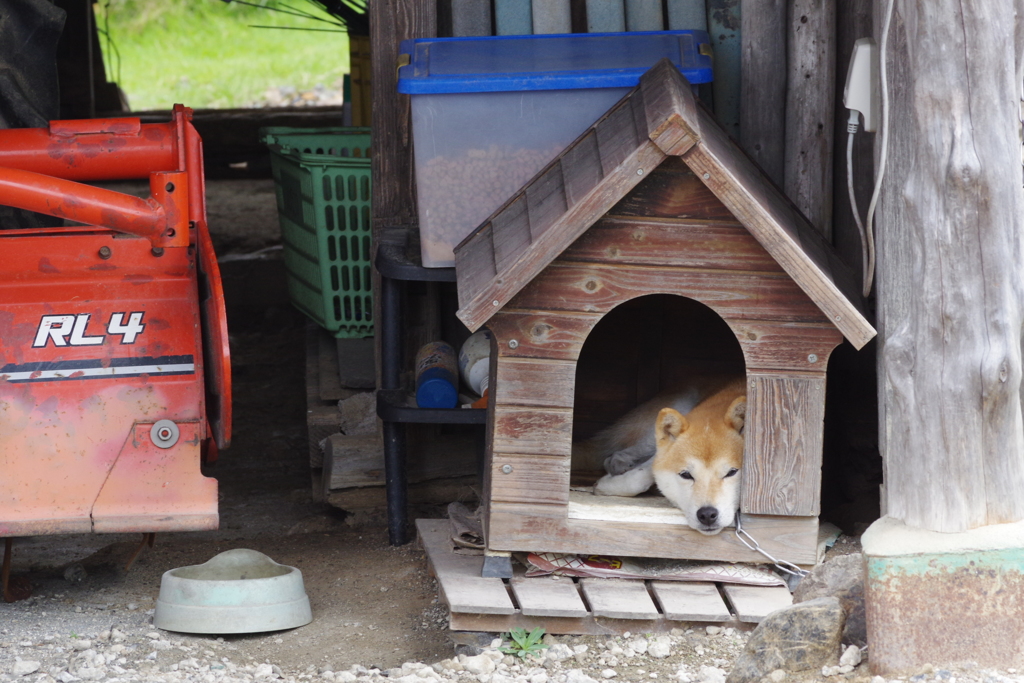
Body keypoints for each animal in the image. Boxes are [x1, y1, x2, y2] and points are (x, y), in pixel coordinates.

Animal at [573, 376, 749, 536]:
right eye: (686, 475)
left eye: (731, 472)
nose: (707, 515)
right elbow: (639, 478)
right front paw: (606, 485)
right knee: (614, 454)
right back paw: (618, 464)